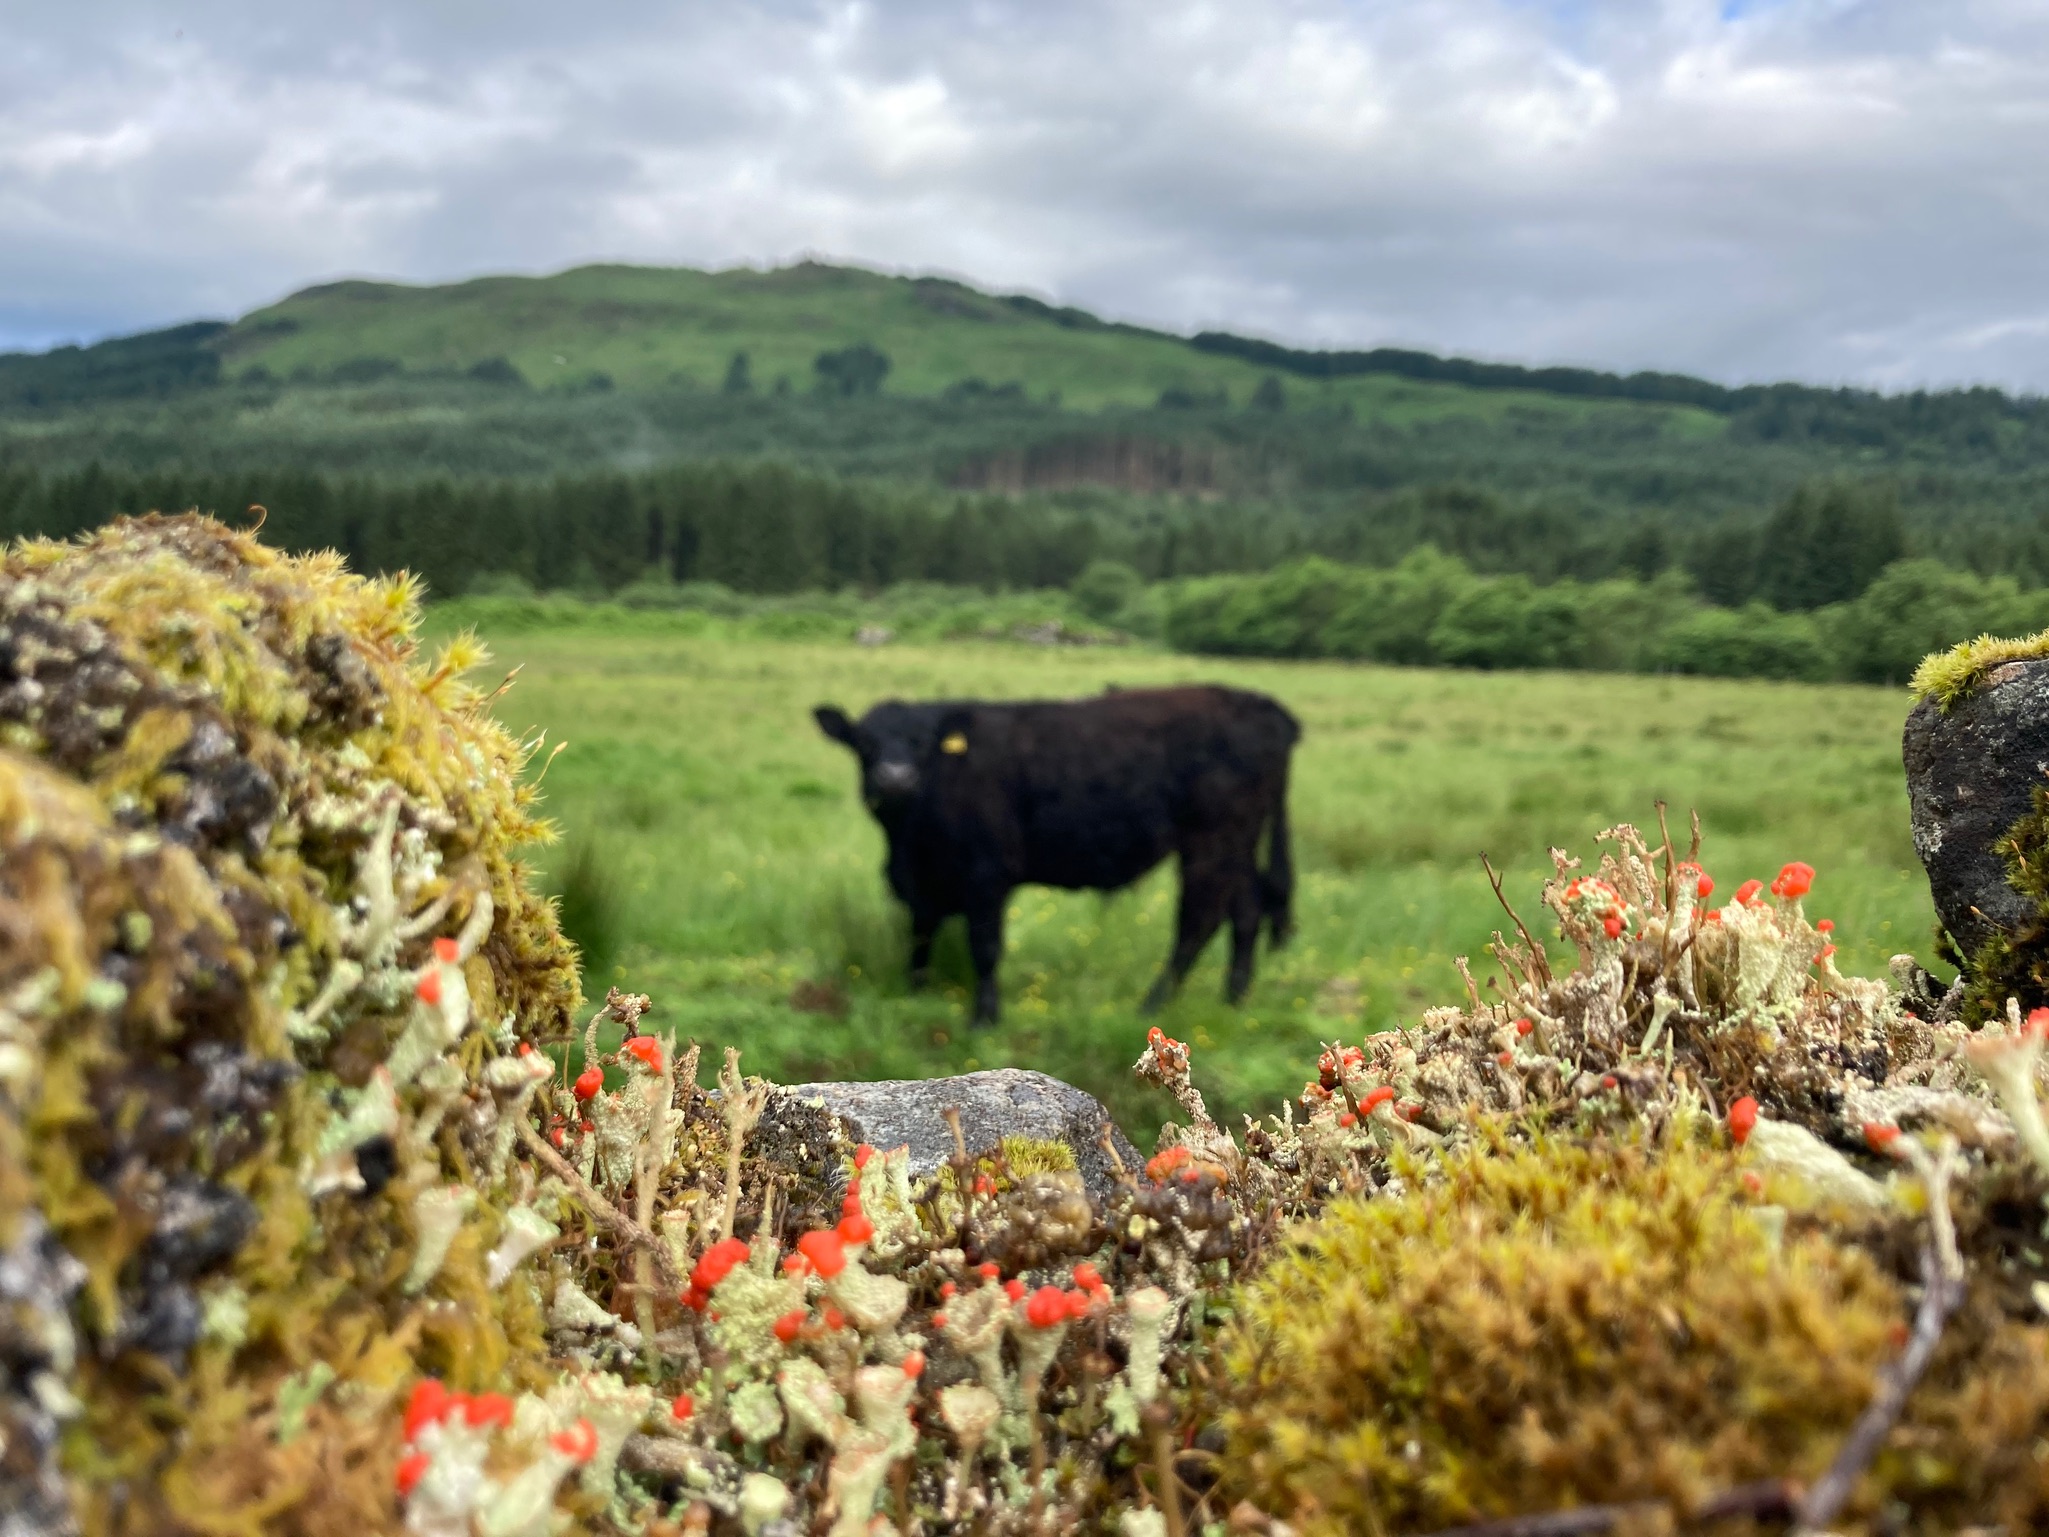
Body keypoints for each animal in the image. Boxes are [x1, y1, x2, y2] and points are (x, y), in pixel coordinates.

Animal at [813, 685, 1298, 1027]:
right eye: (863, 742)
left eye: (922, 741)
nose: (895, 778)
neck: (909, 838)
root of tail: (1262, 704)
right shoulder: (922, 883)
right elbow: (920, 936)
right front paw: (915, 995)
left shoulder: (986, 875)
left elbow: (984, 946)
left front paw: (983, 1019)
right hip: (1237, 845)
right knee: (1247, 908)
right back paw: (1233, 999)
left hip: (1212, 842)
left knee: (1199, 920)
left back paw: (1151, 1005)